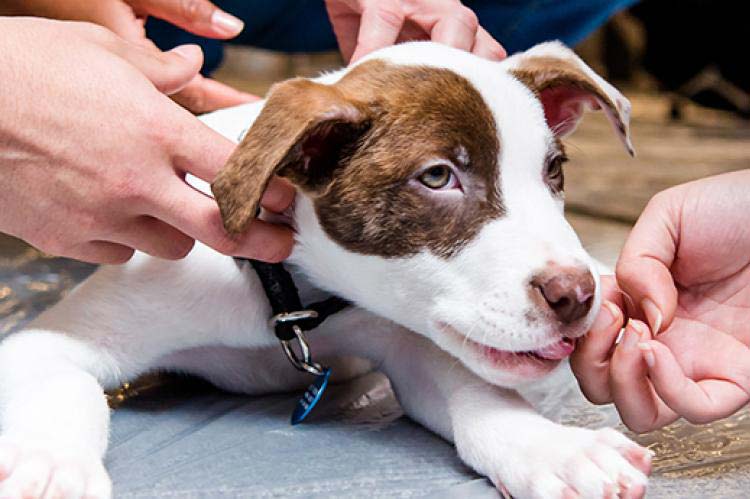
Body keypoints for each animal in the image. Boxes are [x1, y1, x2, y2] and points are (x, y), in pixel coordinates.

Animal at [0, 43, 648, 499]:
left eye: (554, 170)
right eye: (437, 177)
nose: (574, 296)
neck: (290, 296)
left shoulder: (409, 344)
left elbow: (477, 394)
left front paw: (557, 453)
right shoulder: (41, 345)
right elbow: (70, 387)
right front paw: (51, 469)